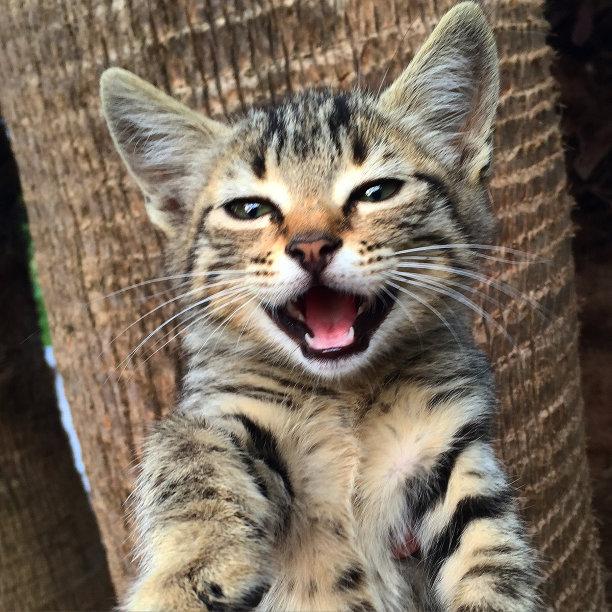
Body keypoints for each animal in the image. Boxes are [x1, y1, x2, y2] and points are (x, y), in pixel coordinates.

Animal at [100, 2, 538, 610]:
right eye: (249, 208)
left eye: (377, 192)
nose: (311, 245)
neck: (344, 396)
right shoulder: (223, 407)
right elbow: (189, 453)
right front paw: (187, 574)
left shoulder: (452, 445)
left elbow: (491, 553)